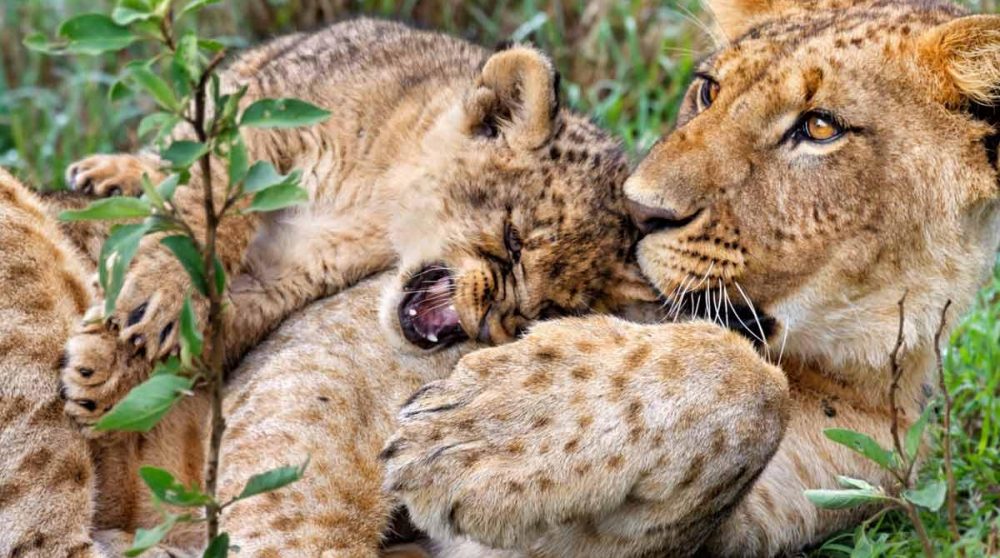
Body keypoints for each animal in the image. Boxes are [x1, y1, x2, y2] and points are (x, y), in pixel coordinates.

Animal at [380, 0, 1000, 556]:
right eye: (707, 90)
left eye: (821, 127)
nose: (639, 210)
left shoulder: (853, 466)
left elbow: (753, 380)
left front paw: (476, 434)